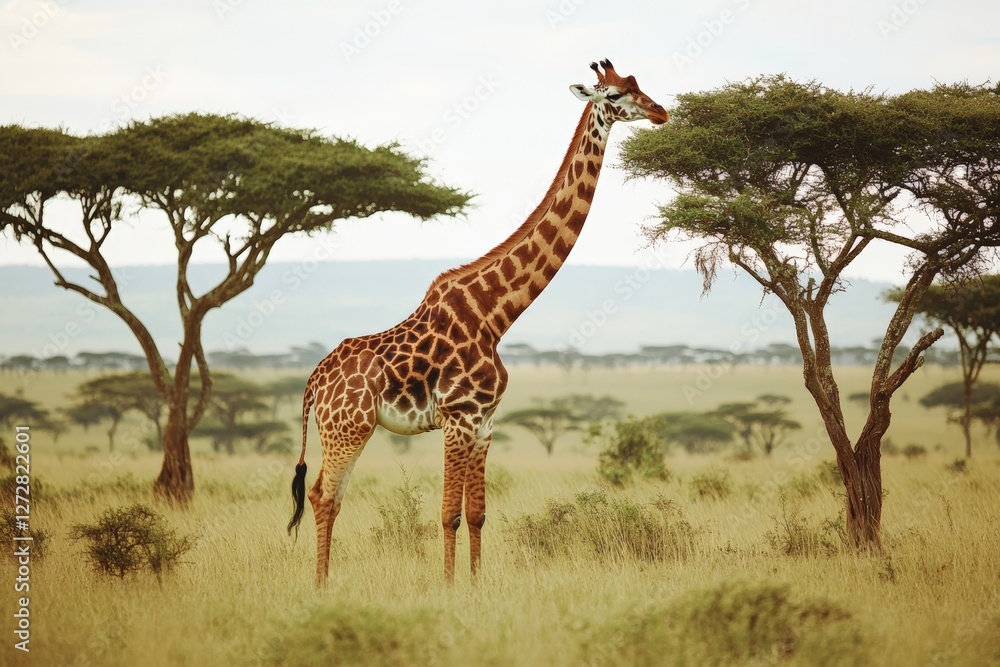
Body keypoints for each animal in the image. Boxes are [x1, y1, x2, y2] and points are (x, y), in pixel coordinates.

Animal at [288, 59, 668, 585]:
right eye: (613, 95)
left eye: (639, 84)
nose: (661, 111)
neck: (495, 315)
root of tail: (312, 385)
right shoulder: (458, 418)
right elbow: (447, 513)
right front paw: (449, 588)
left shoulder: (485, 423)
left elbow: (476, 514)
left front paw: (474, 584)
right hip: (347, 428)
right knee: (324, 495)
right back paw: (321, 586)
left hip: (345, 430)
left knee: (329, 494)